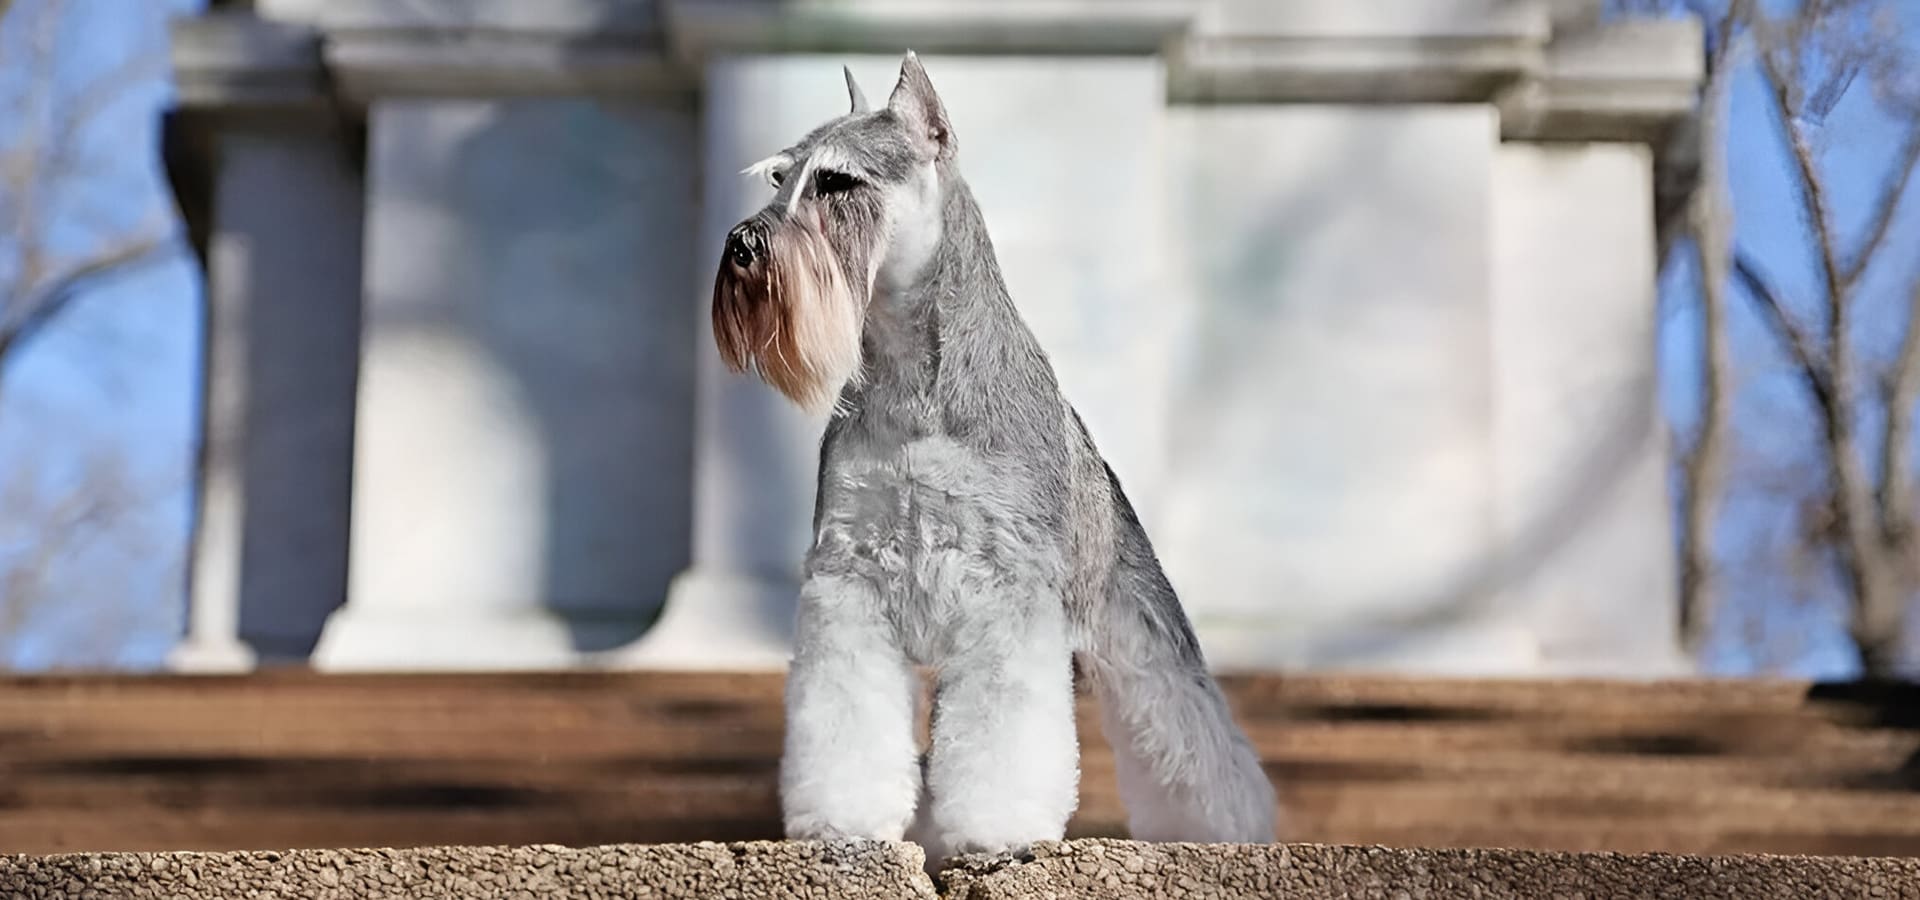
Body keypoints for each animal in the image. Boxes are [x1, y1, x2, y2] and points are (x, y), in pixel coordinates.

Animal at [706, 50, 1274, 855]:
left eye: (839, 182)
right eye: (779, 179)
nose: (742, 248)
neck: (914, 385)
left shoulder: (1007, 594)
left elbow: (1009, 736)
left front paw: (998, 829)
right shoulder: (848, 583)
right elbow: (844, 721)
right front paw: (845, 823)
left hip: (1139, 634)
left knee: (1192, 733)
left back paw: (1222, 829)